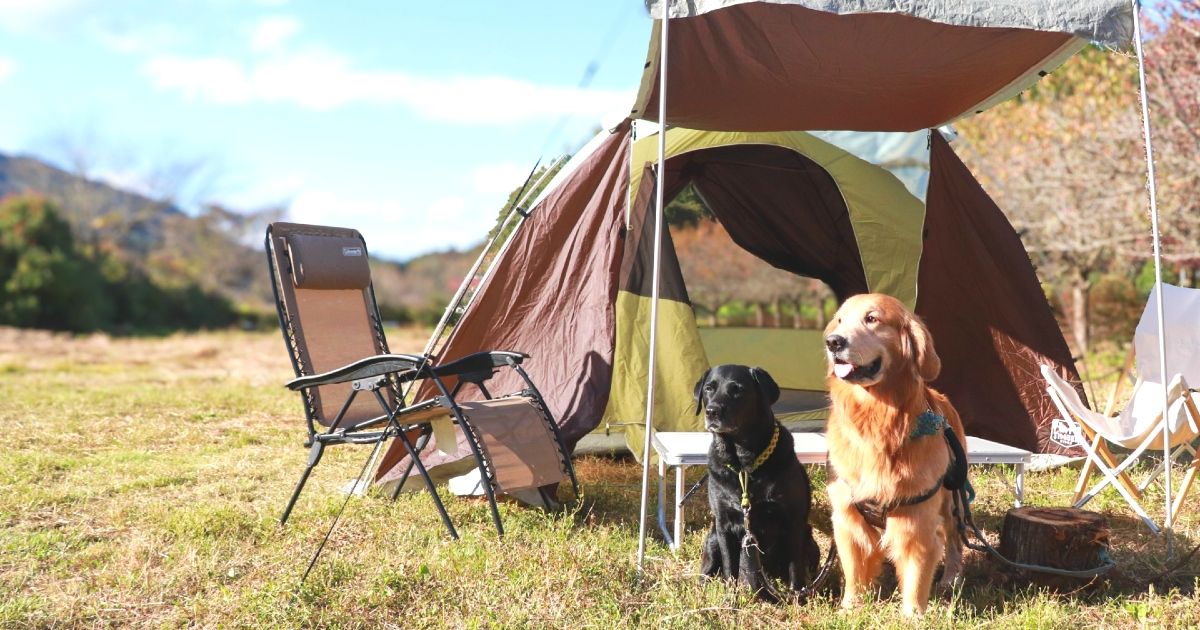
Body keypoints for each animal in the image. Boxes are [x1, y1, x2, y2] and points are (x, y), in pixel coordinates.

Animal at [691, 362, 820, 600]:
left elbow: (795, 567)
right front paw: (731, 597)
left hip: (810, 540)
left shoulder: (793, 522)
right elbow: (729, 567)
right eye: (709, 389)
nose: (712, 411)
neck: (744, 465)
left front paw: (797, 598)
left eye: (737, 390)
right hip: (711, 539)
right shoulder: (723, 524)